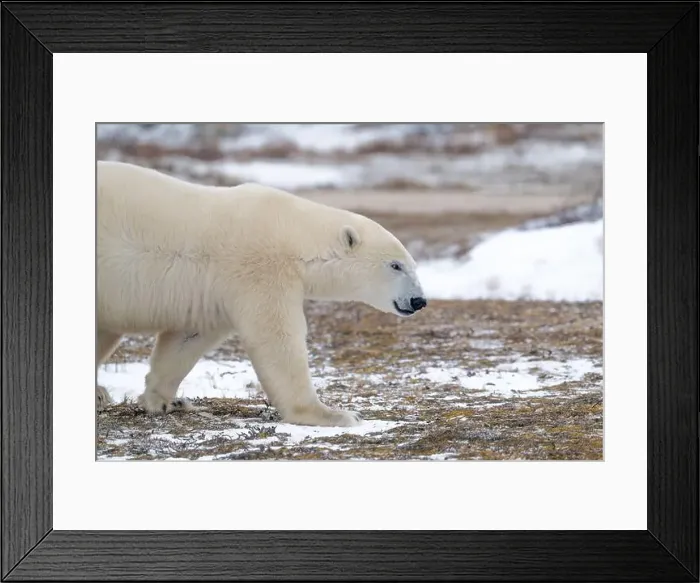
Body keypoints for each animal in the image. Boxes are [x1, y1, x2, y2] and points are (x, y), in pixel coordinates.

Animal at [96, 160, 427, 427]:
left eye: (412, 265)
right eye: (395, 265)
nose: (418, 301)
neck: (296, 236)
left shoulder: (211, 292)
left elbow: (187, 339)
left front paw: (165, 400)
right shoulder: (261, 270)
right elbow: (277, 340)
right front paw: (336, 414)